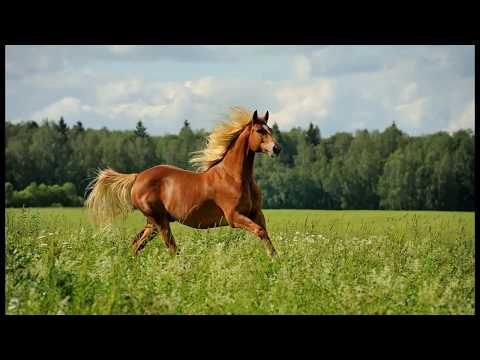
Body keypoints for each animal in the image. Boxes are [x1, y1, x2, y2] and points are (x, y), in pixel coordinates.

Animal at [86, 107, 282, 256]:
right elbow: (260, 231)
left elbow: (265, 233)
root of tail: (138, 177)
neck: (234, 177)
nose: (276, 148)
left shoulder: (256, 213)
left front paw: (276, 259)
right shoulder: (234, 216)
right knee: (171, 248)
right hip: (160, 221)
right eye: (259, 131)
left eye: (270, 130)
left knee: (137, 245)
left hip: (153, 223)